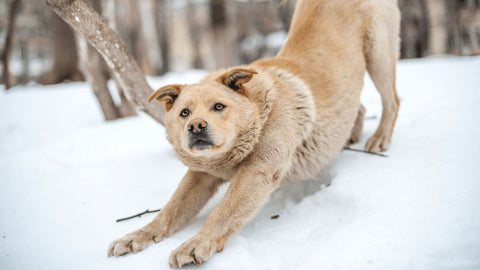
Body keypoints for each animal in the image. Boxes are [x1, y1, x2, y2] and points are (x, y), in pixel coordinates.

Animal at [107, 0, 400, 266]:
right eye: (184, 113)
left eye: (218, 106)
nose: (196, 127)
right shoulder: (200, 174)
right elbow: (169, 210)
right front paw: (137, 236)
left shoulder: (257, 171)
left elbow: (222, 212)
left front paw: (195, 244)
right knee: (357, 106)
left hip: (378, 54)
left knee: (392, 101)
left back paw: (379, 139)